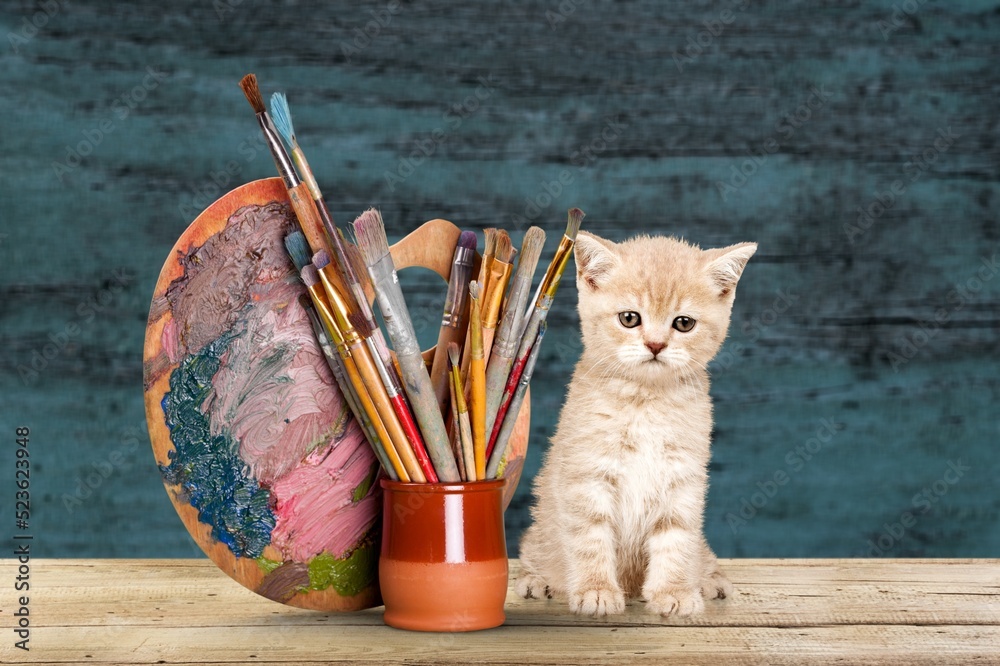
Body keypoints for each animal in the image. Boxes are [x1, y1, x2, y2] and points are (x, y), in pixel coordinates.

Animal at [520, 231, 752, 616]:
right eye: (629, 318)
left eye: (684, 323)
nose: (655, 344)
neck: (645, 401)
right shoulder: (587, 475)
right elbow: (589, 536)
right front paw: (596, 590)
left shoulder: (682, 479)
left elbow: (677, 539)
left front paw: (674, 591)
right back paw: (538, 581)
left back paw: (710, 581)